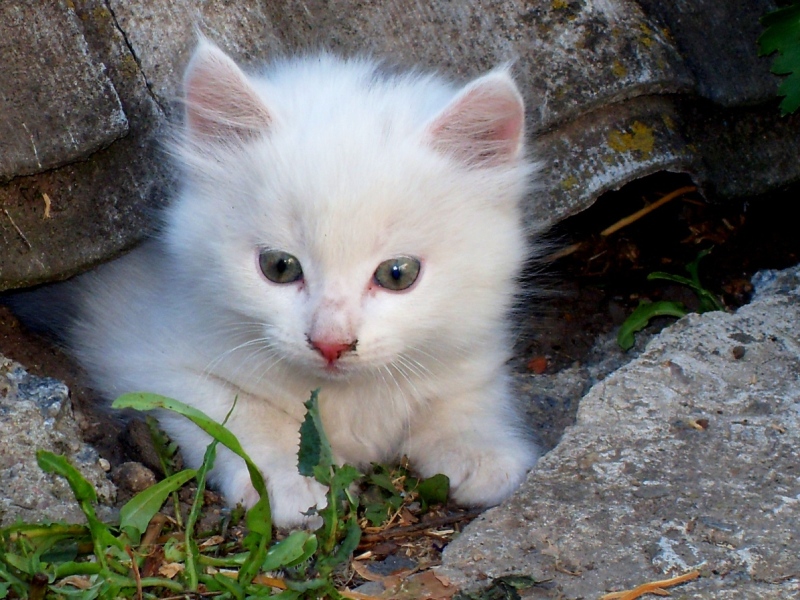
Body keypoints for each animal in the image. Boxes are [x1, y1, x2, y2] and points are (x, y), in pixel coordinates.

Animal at [70, 42, 544, 528]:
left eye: (398, 274)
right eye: (279, 267)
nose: (331, 343)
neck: (348, 397)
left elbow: (465, 392)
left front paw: (479, 449)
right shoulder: (138, 349)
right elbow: (237, 414)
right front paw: (290, 480)